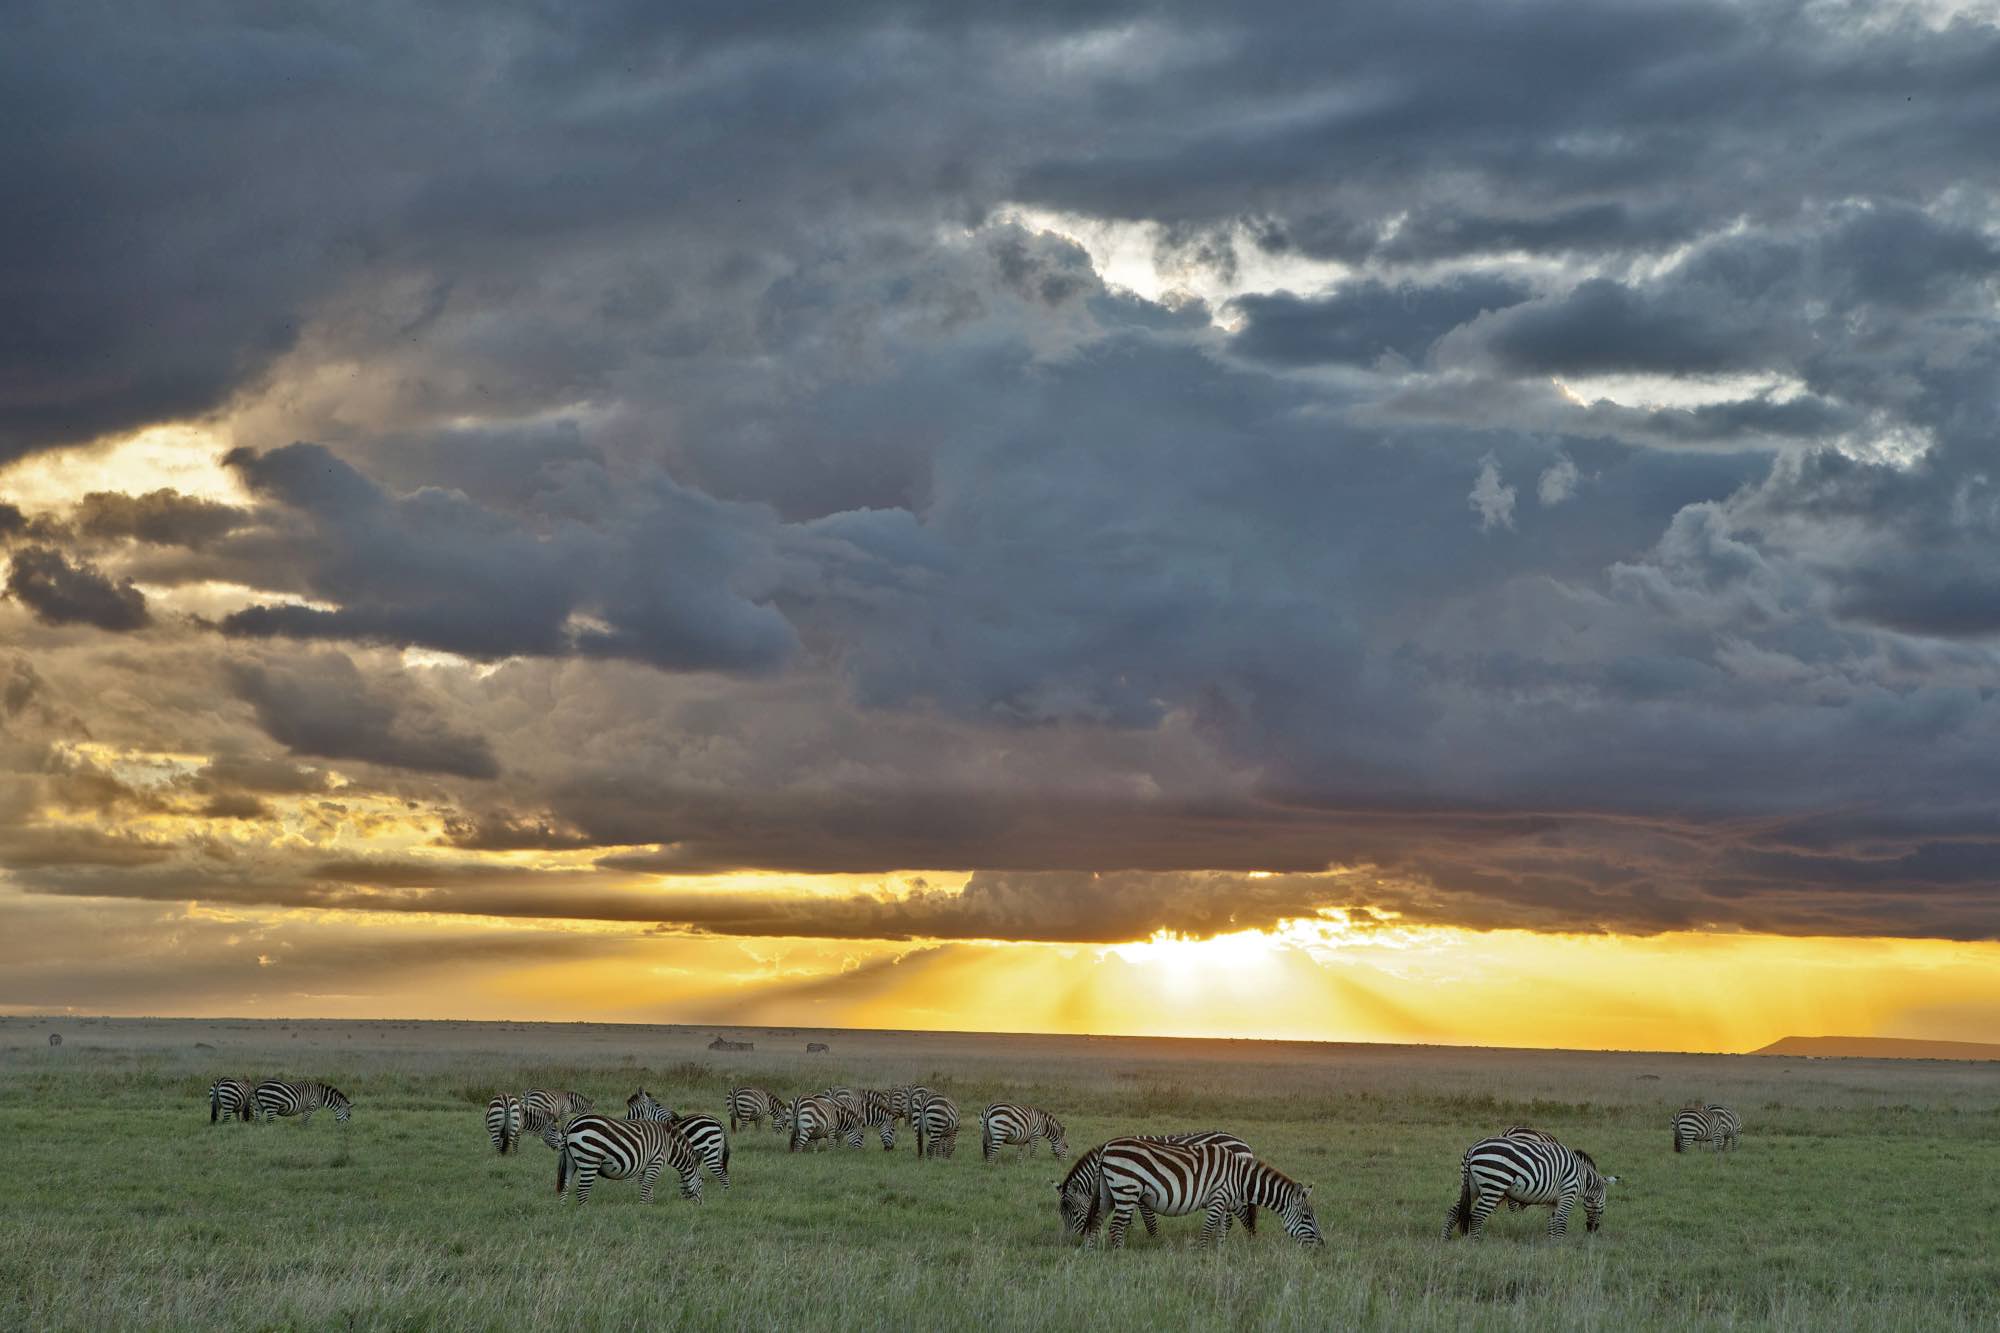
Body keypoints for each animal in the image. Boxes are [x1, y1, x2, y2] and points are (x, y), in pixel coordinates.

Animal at [548, 1112, 704, 1200]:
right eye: (702, 1180)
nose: (699, 1204)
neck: (669, 1145)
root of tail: (571, 1123)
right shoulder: (656, 1162)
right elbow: (646, 1189)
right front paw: (643, 1211)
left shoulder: (647, 1165)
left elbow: (648, 1190)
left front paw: (649, 1206)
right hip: (590, 1159)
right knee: (582, 1191)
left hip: (569, 1161)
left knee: (565, 1188)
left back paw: (565, 1214)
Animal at [1056, 1128, 1256, 1240]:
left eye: (1073, 1212)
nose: (1069, 1241)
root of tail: (1244, 1144)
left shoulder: (1140, 1192)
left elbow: (1149, 1220)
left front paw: (1154, 1241)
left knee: (1240, 1216)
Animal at [1088, 1128, 1320, 1248]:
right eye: (1307, 1217)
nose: (1322, 1246)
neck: (1239, 1177)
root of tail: (1107, 1147)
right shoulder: (1217, 1199)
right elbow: (1207, 1232)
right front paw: (1203, 1258)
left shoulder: (1224, 1203)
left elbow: (1221, 1231)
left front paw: (1219, 1254)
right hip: (1128, 1189)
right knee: (1115, 1227)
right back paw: (1119, 1255)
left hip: (1109, 1193)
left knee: (1096, 1222)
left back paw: (1092, 1254)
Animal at [1448, 1128, 1616, 1232]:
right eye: (1602, 1208)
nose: (1592, 1229)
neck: (1582, 1175)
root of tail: (1473, 1149)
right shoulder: (1566, 1193)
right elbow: (1560, 1221)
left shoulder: (1551, 1198)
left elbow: (1552, 1222)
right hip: (1496, 1182)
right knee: (1481, 1214)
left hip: (1470, 1185)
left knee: (1454, 1210)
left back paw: (1446, 1239)